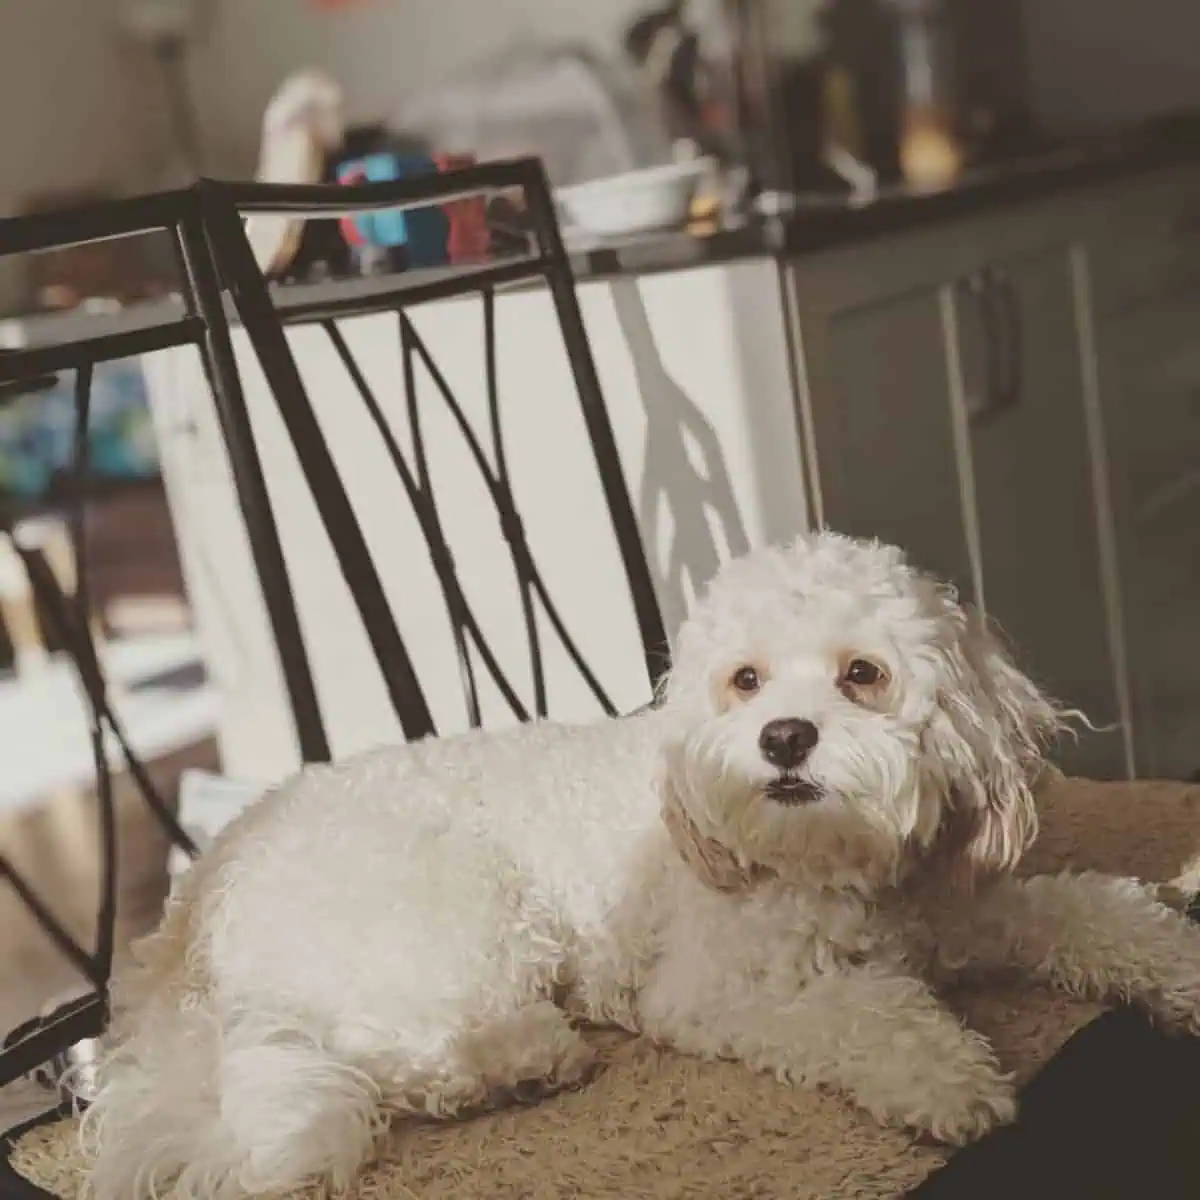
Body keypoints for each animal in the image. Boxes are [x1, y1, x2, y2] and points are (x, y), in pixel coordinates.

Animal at [82, 537, 1200, 1200]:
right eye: (745, 680)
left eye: (863, 674)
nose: (784, 737)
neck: (831, 867)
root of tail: (191, 903)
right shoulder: (712, 992)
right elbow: (862, 1013)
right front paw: (944, 1075)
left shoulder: (964, 909)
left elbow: (1087, 910)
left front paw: (1176, 965)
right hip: (458, 916)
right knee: (388, 1050)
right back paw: (526, 1057)